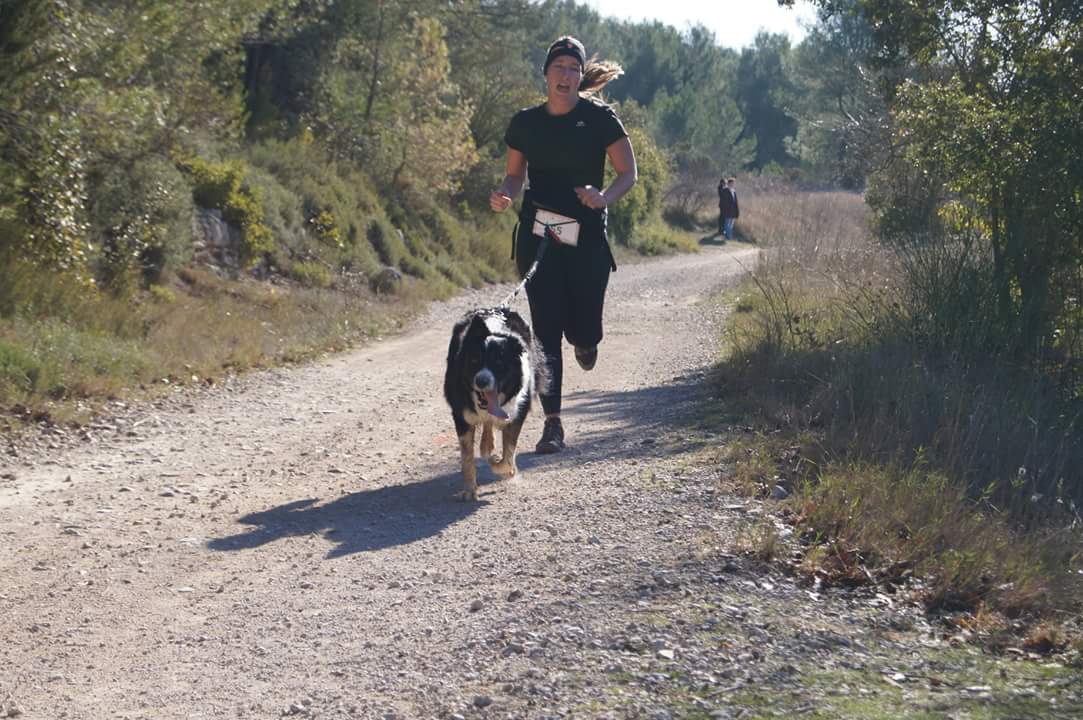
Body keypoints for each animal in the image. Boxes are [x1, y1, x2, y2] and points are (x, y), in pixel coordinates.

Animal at [441, 307, 545, 500]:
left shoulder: (517, 412)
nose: (481, 381)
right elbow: (467, 457)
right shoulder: (461, 415)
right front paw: (469, 490)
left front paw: (503, 467)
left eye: (499, 363)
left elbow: (508, 454)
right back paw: (486, 446)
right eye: (474, 360)